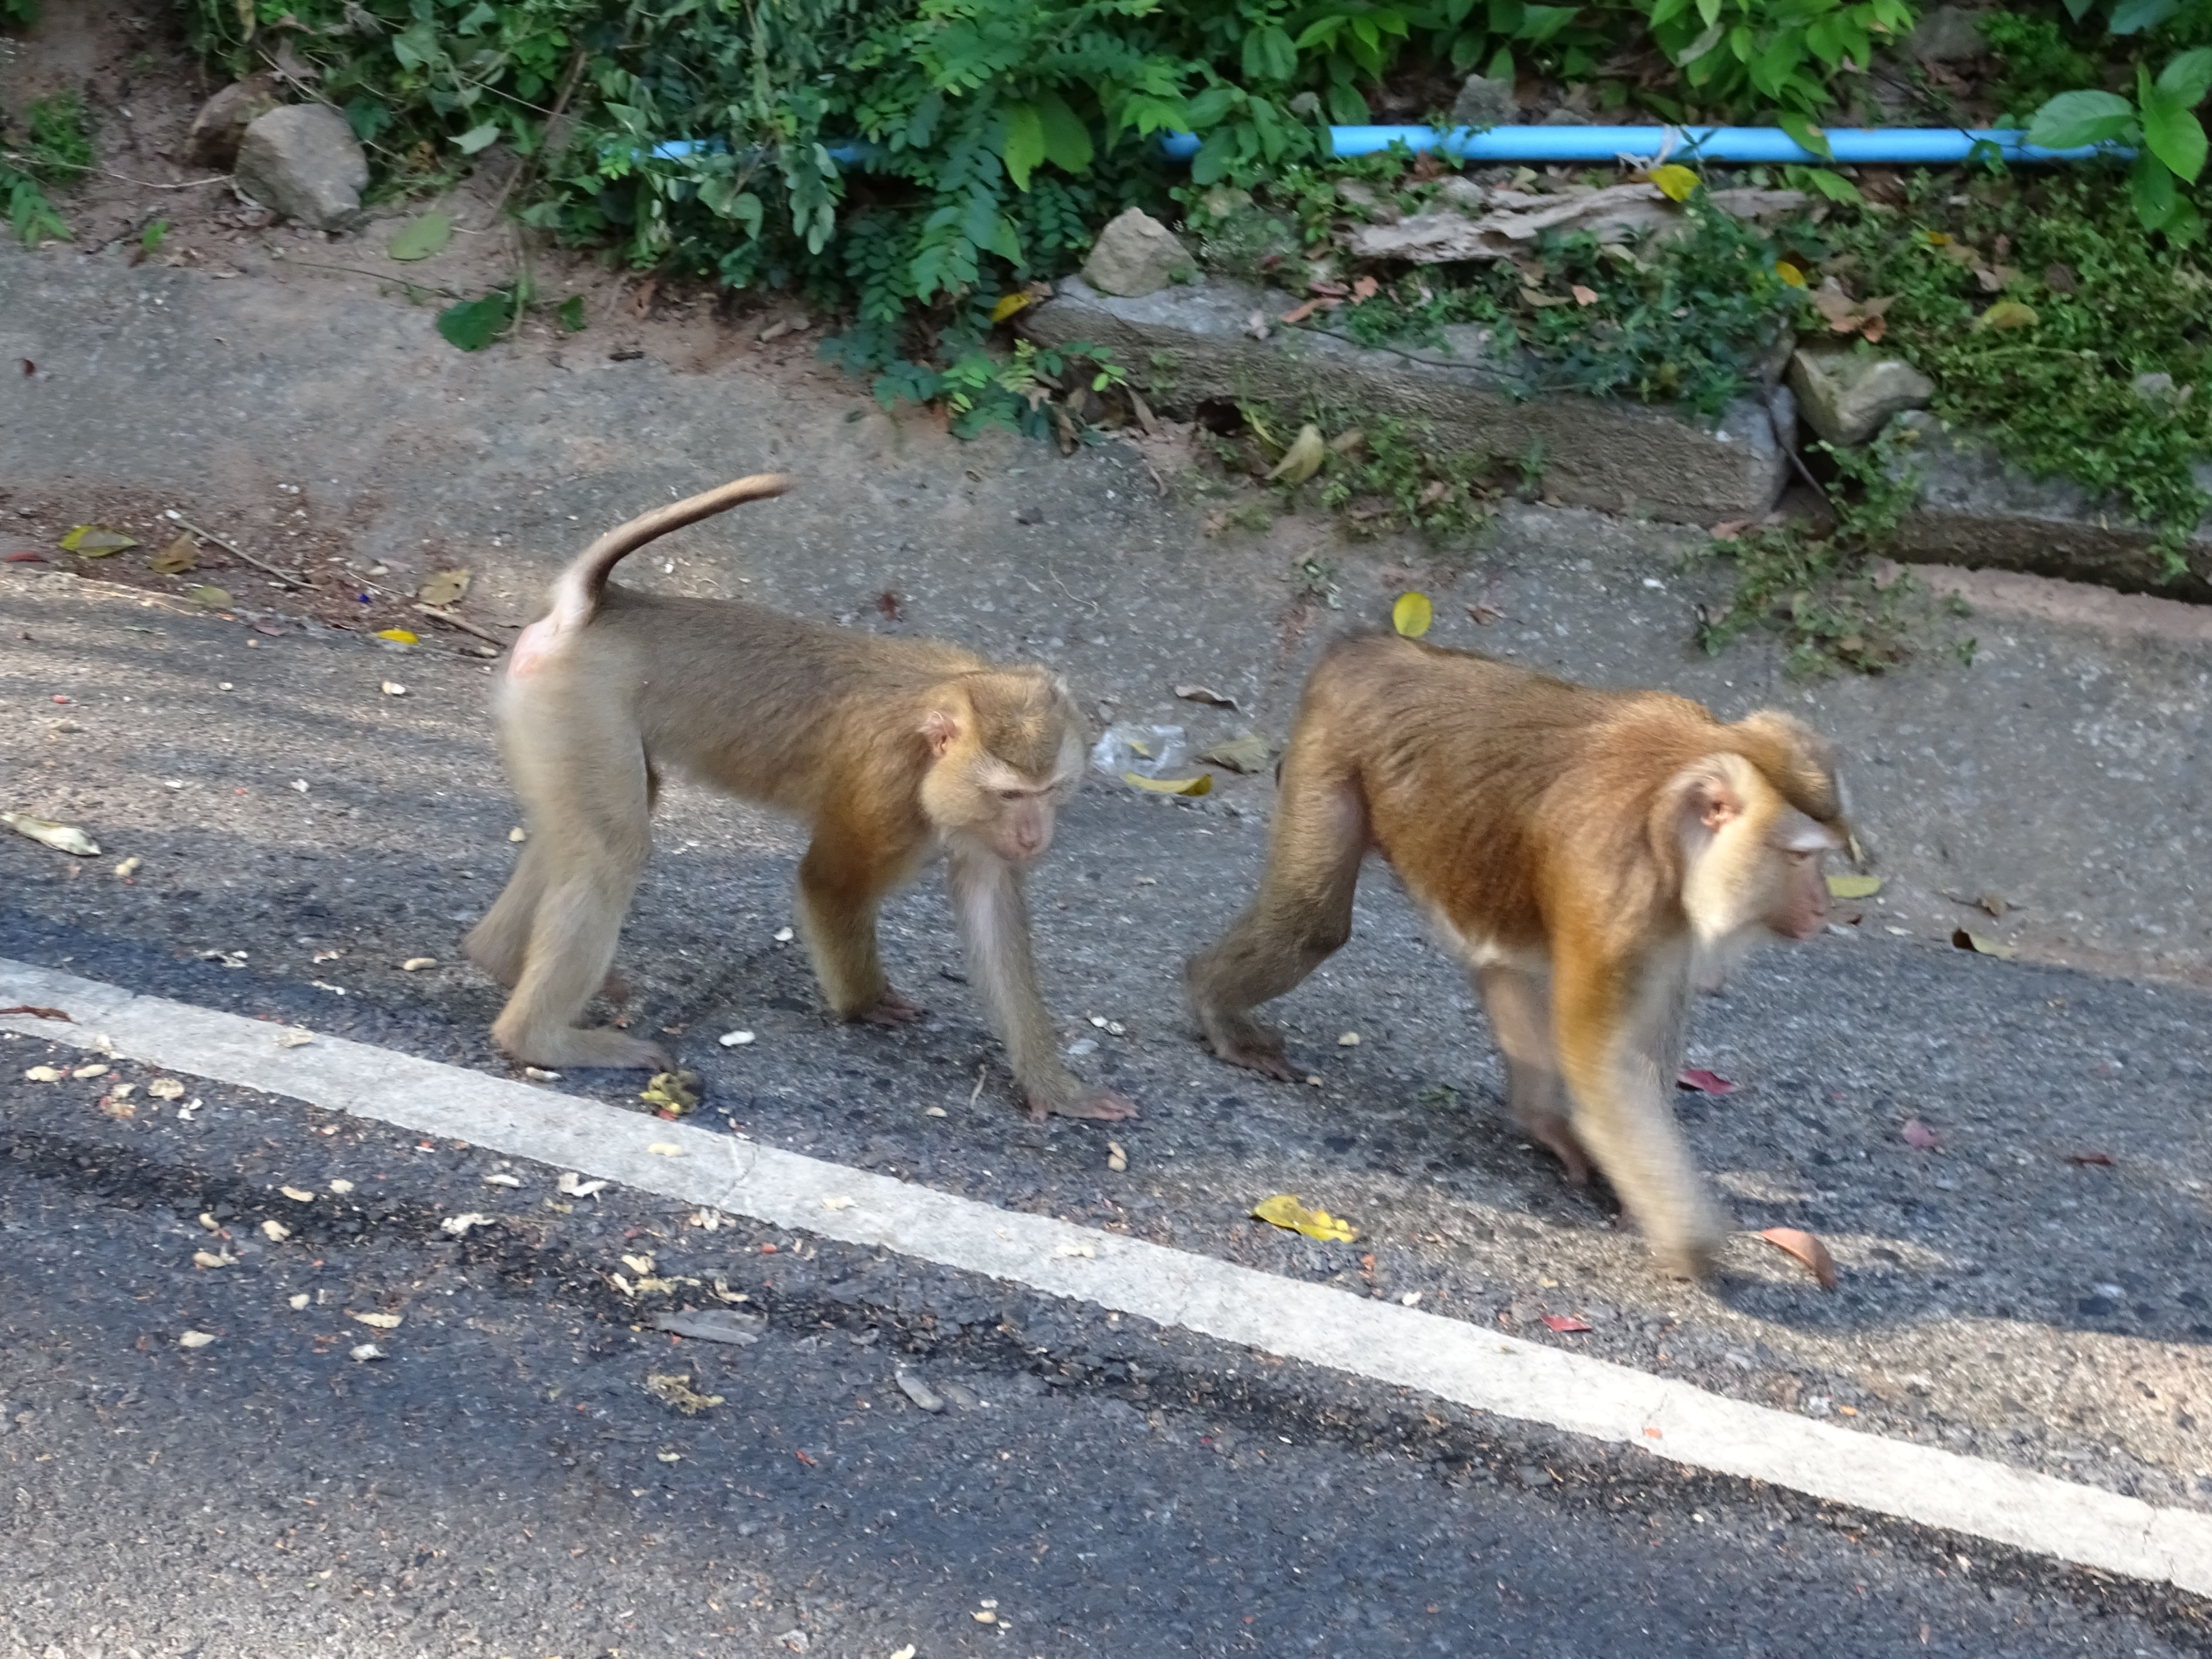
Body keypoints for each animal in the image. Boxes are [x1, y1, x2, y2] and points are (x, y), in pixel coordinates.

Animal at [460, 480, 1132, 1132]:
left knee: (601, 822)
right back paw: (538, 1038)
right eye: (1011, 794)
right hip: (581, 708)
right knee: (613, 849)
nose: (1036, 837)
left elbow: (990, 906)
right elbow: (829, 885)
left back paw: (499, 959)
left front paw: (1053, 1088)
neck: (936, 736)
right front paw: (867, 1003)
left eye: (1051, 791)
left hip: (552, 713)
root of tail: (594, 610)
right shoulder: (886, 793)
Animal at [1186, 637, 1840, 1283]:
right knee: (1311, 923)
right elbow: (1600, 1059)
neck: (1674, 804)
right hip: (1332, 752)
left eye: (1823, 858)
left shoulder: (1669, 918)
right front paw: (1692, 1245)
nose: (1827, 906)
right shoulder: (1616, 890)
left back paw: (1540, 1120)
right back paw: (1214, 1003)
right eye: (1800, 858)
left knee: (1500, 959)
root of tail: (1373, 649)